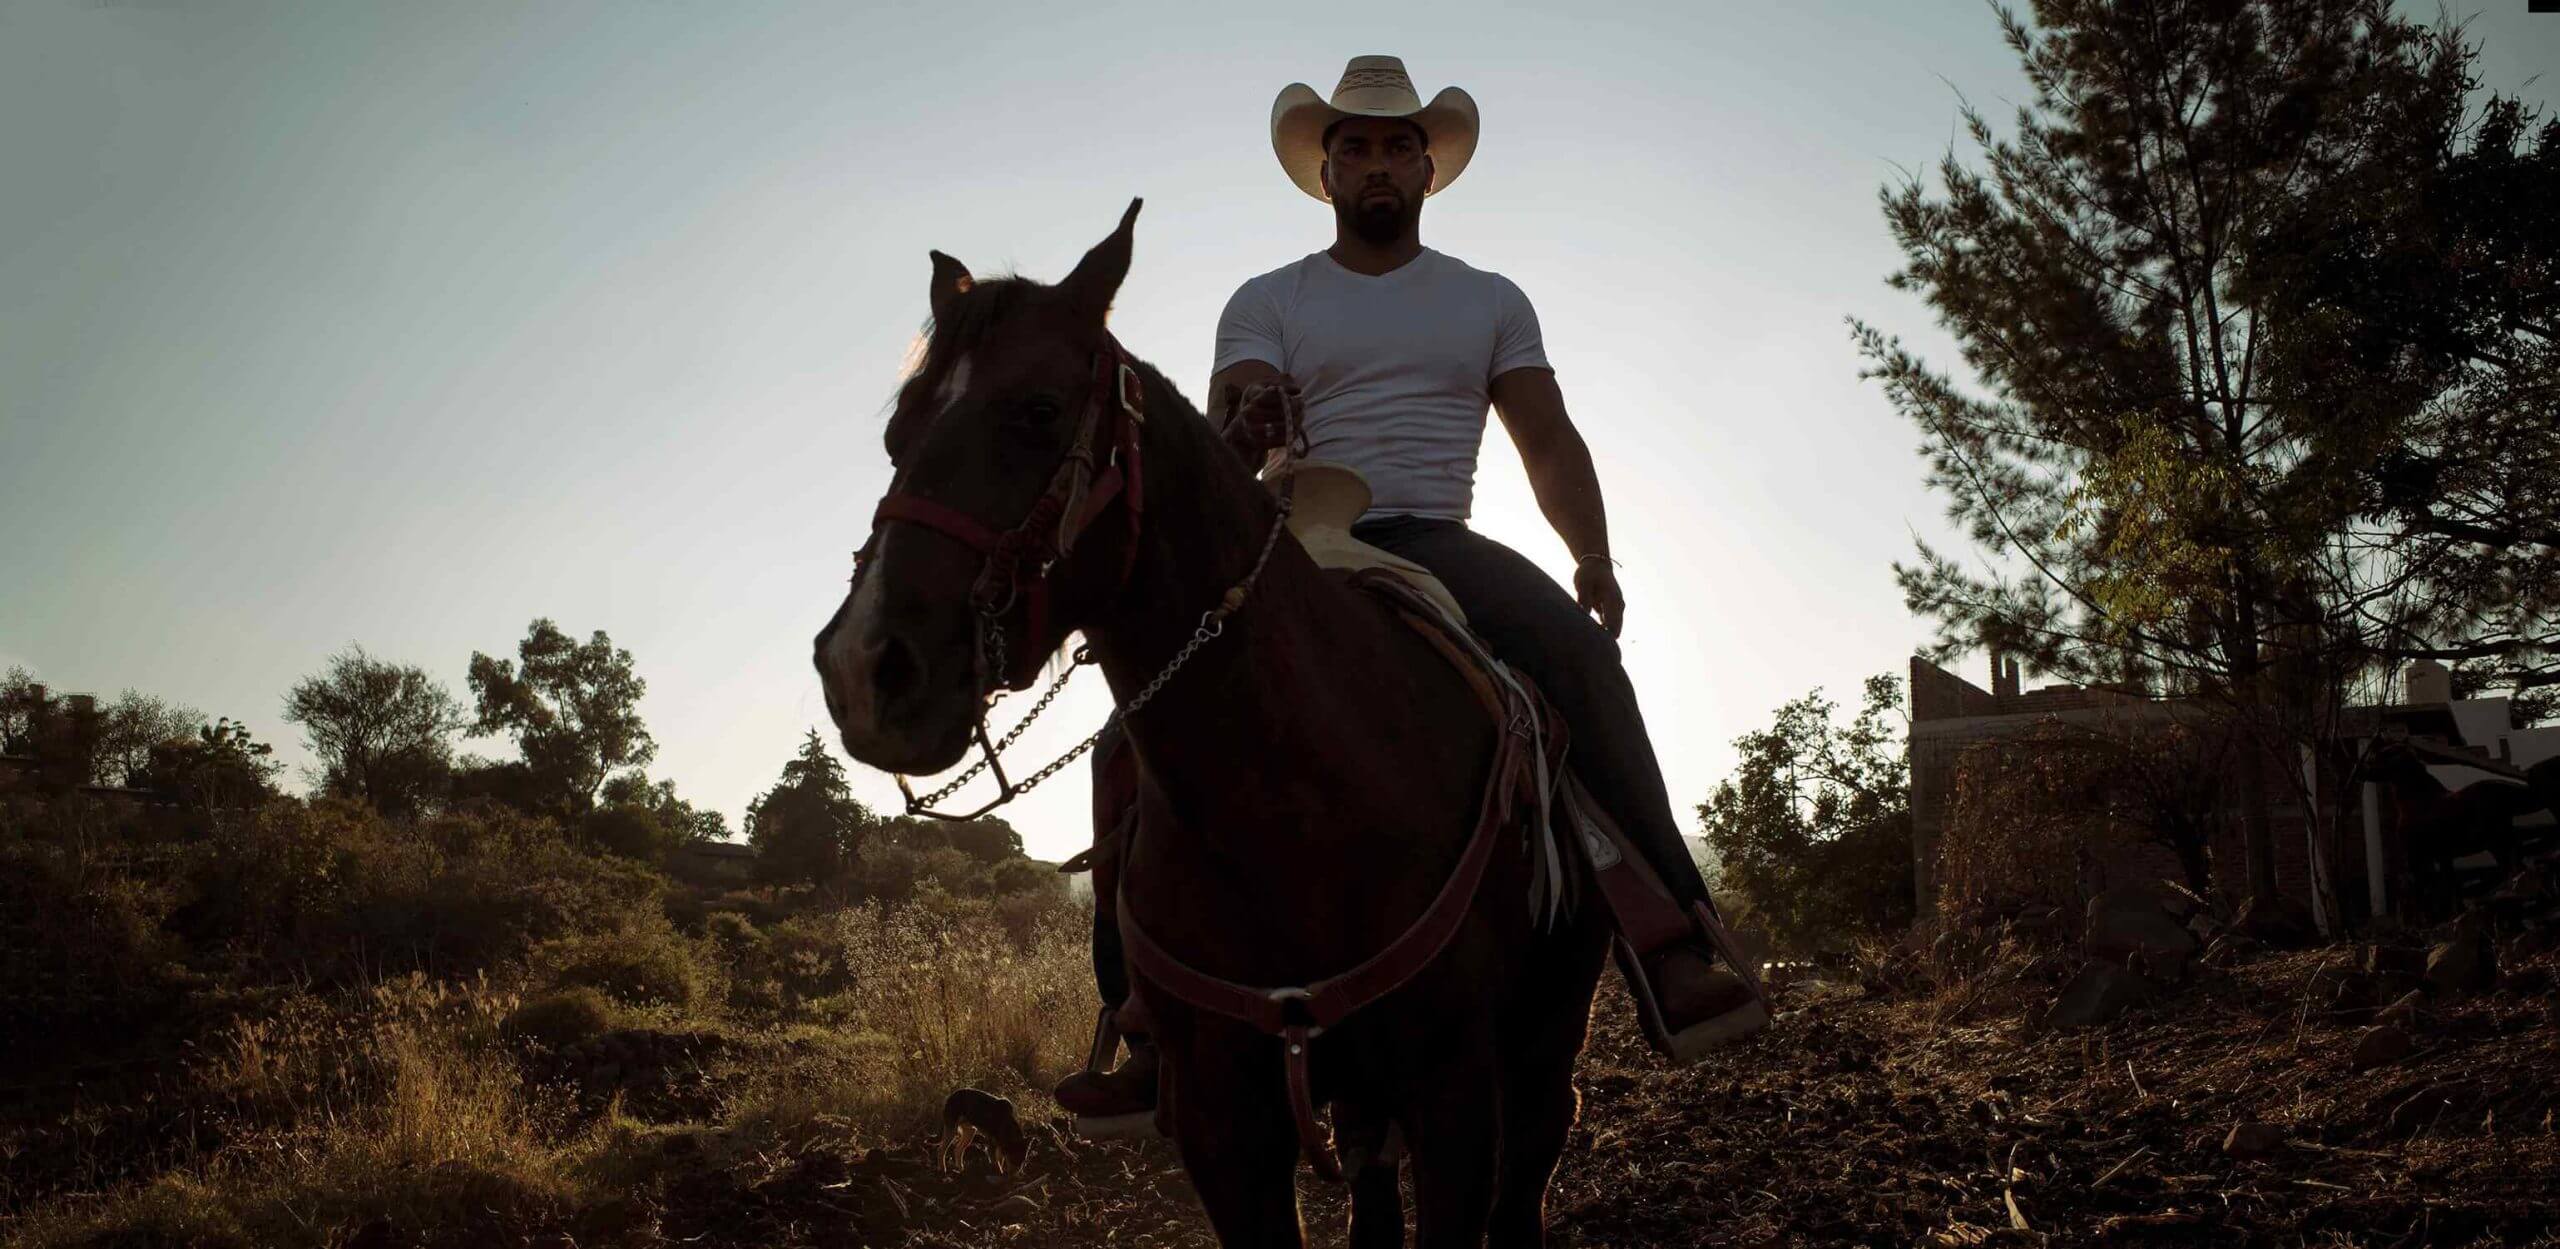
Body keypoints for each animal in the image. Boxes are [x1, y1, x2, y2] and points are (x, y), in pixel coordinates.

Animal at [819, 199, 1607, 1243]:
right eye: (897, 434)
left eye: (1038, 410)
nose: (863, 667)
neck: (1304, 793)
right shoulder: (1222, 1125)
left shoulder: (1456, 1099)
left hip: (1543, 1048)